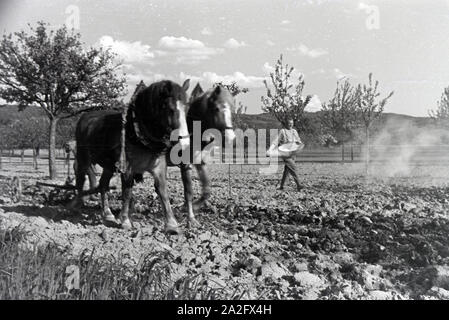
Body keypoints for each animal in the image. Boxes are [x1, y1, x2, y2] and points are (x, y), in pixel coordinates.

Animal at [71, 79, 190, 234]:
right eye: (170, 109)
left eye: (186, 108)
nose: (185, 144)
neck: (137, 130)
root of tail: (85, 117)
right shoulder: (127, 167)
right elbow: (127, 191)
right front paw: (126, 221)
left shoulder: (159, 167)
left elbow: (163, 191)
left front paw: (172, 225)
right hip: (83, 157)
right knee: (80, 178)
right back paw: (77, 206)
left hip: (109, 165)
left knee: (103, 184)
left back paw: (107, 214)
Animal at [166, 82, 236, 228]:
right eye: (216, 108)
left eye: (232, 110)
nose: (230, 139)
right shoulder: (185, 165)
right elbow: (188, 191)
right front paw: (191, 218)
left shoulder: (200, 163)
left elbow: (207, 190)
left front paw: (193, 206)